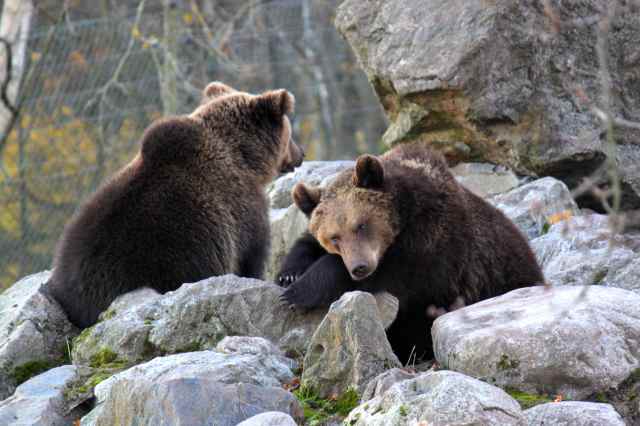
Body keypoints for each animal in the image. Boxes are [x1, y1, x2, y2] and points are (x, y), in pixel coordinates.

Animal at [45, 82, 304, 328]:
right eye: (289, 133)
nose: (300, 154)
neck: (244, 157)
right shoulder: (242, 211)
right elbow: (251, 257)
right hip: (165, 257)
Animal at [277, 143, 543, 362]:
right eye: (334, 237)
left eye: (361, 225)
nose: (359, 267)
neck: (404, 214)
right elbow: (305, 244)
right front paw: (289, 274)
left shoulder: (432, 246)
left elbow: (396, 276)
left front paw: (297, 292)